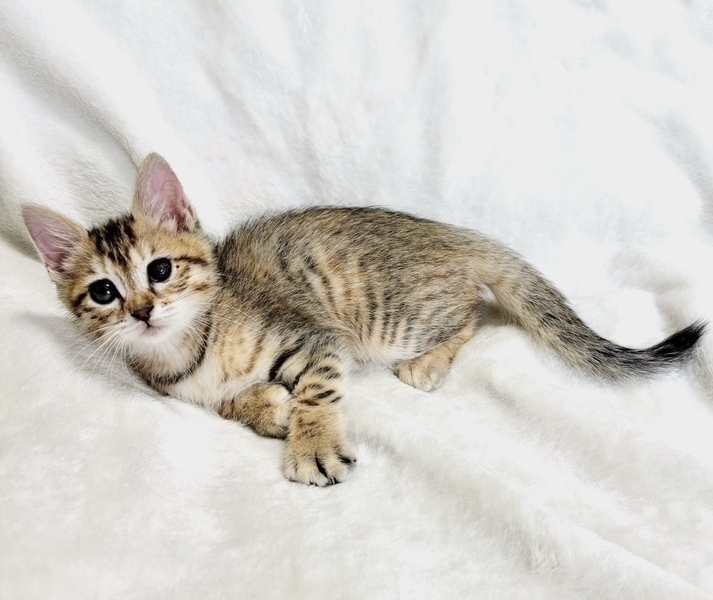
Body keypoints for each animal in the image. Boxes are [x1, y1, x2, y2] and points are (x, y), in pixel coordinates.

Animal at [22, 153, 705, 486]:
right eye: (104, 292)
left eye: (160, 270)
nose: (142, 311)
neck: (191, 351)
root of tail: (458, 238)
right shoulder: (189, 393)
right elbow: (232, 405)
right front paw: (268, 409)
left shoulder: (317, 338)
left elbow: (317, 391)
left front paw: (310, 441)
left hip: (393, 318)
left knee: (475, 311)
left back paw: (427, 364)